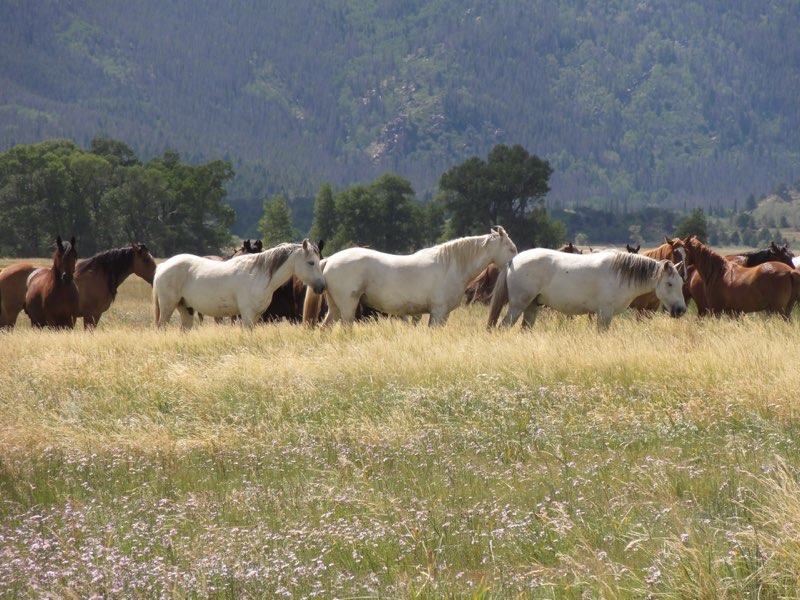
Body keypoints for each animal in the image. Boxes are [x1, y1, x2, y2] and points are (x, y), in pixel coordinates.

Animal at [153, 239, 324, 328]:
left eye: (320, 259)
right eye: (311, 263)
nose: (321, 287)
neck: (258, 275)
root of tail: (163, 266)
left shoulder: (257, 316)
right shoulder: (247, 315)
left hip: (186, 309)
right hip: (168, 306)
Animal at [302, 226, 520, 328]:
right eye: (511, 248)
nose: (517, 262)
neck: (450, 265)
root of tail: (330, 260)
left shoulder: (439, 314)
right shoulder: (438, 312)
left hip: (335, 309)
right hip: (348, 309)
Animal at [488, 250, 688, 332]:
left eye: (681, 283)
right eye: (670, 284)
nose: (681, 310)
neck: (620, 274)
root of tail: (513, 261)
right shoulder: (604, 313)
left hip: (532, 306)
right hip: (518, 305)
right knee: (504, 327)